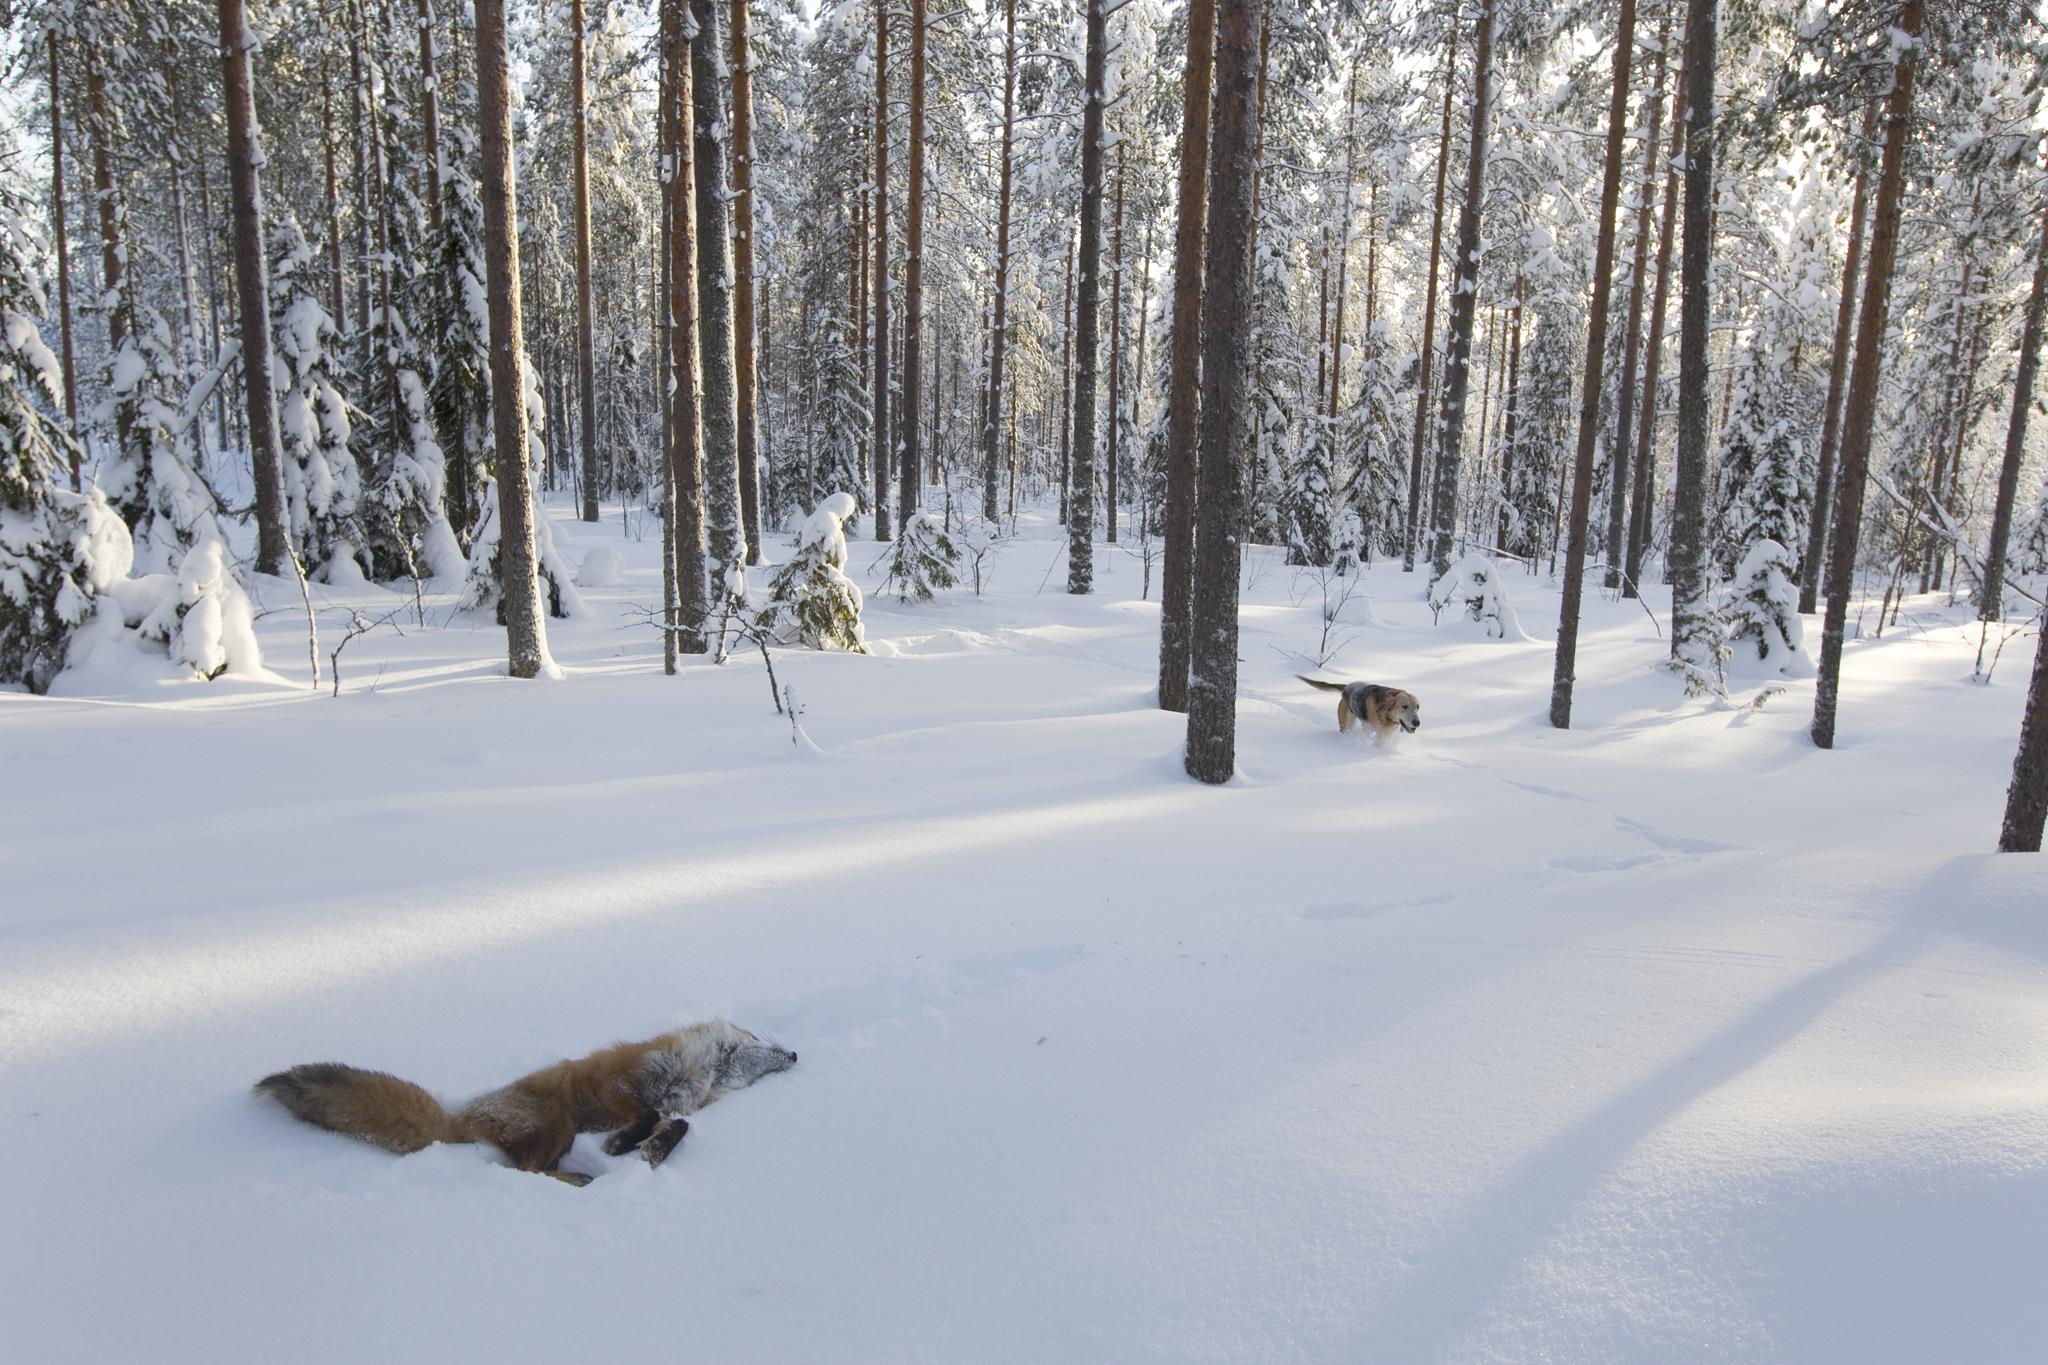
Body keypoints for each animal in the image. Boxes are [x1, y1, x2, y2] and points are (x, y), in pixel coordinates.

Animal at [253, 1023, 790, 1186]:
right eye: (755, 1039)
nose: (795, 1054)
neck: (683, 1075)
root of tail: (459, 1119)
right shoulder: (617, 1083)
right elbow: (648, 1115)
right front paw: (624, 1144)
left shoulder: (669, 1107)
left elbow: (675, 1127)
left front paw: (648, 1150)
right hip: (556, 1123)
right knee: (525, 1170)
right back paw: (579, 1178)